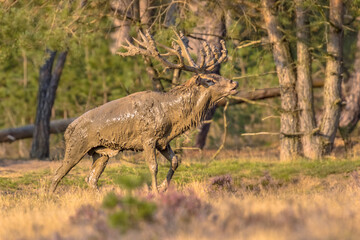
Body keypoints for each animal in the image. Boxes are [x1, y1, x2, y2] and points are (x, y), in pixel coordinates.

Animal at [49, 29, 238, 193]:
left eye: (217, 75)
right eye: (210, 80)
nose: (234, 83)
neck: (172, 117)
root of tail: (67, 130)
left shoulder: (163, 141)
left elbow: (176, 161)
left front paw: (163, 187)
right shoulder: (148, 138)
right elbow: (153, 167)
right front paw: (155, 191)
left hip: (101, 152)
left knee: (91, 179)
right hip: (76, 146)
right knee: (58, 175)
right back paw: (50, 196)